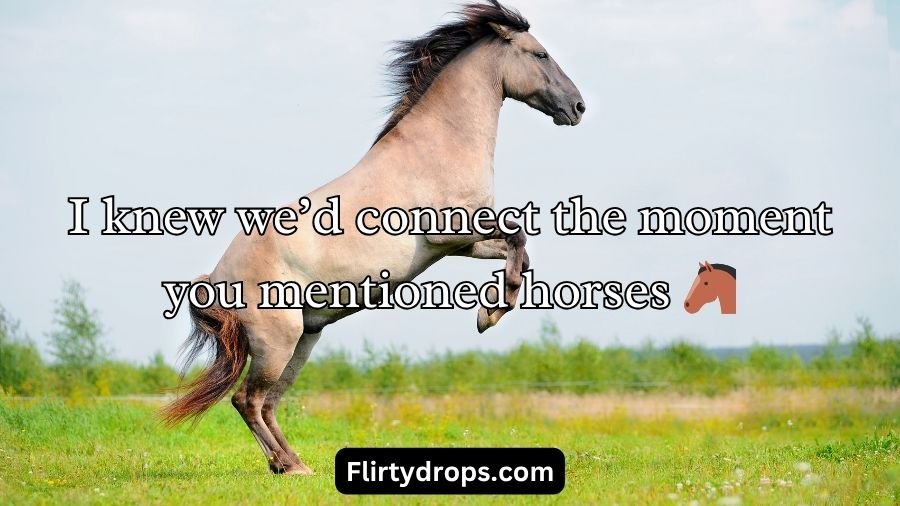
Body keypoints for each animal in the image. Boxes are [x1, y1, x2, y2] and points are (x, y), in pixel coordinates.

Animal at [161, 0, 584, 475]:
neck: (440, 144)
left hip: (305, 339)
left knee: (268, 403)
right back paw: (290, 467)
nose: (578, 106)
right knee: (247, 400)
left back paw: (294, 464)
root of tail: (216, 278)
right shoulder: (449, 233)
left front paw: (493, 309)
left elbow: (520, 252)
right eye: (540, 54)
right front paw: (487, 316)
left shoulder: (464, 244)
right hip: (276, 343)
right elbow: (518, 234)